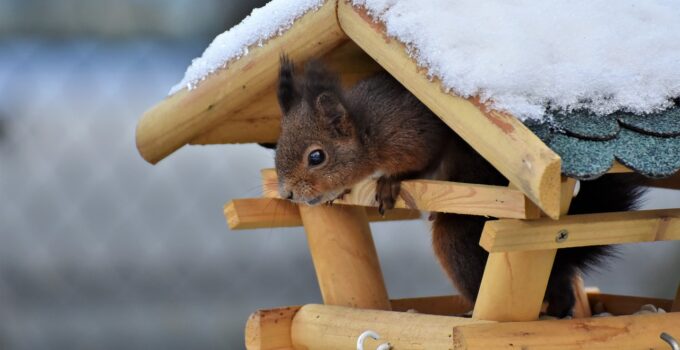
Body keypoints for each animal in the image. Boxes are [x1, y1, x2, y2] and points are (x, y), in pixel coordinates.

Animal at [274, 56, 644, 318]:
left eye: (317, 156)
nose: (288, 193)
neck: (367, 131)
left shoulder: (412, 134)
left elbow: (420, 161)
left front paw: (390, 182)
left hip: (457, 240)